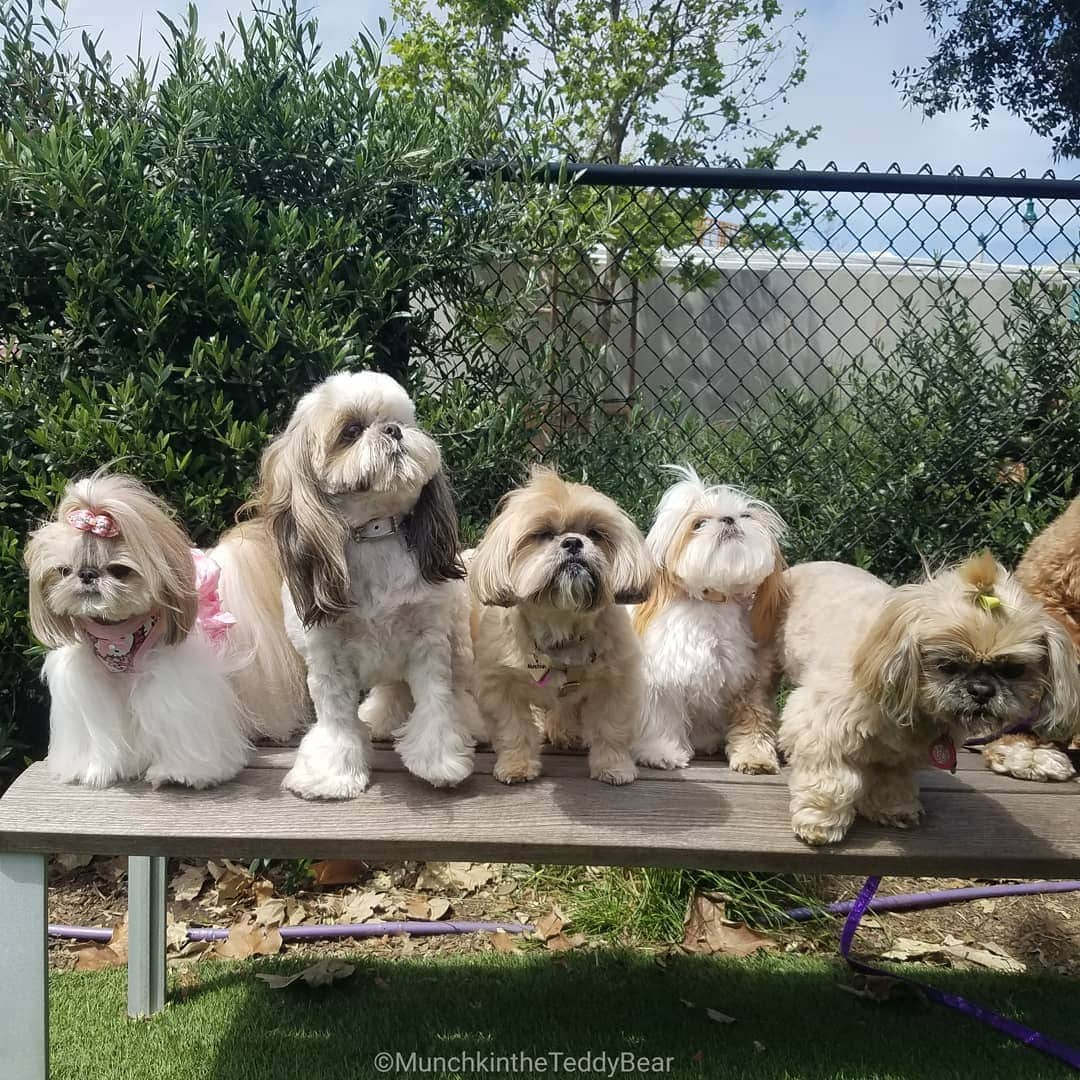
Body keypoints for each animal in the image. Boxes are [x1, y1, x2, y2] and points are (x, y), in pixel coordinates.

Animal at [470, 468, 652, 790]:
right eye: (542, 534)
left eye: (595, 533)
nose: (573, 542)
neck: (561, 625)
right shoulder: (498, 685)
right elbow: (513, 729)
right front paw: (517, 765)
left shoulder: (617, 683)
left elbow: (611, 729)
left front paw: (614, 766)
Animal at [630, 468, 786, 773]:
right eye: (699, 523)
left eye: (745, 515)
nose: (729, 518)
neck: (713, 600)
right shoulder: (662, 678)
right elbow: (661, 717)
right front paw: (661, 752)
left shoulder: (749, 680)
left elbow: (753, 720)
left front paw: (755, 757)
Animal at [777, 557, 1080, 842]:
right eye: (947, 665)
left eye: (1013, 670)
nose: (982, 690)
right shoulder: (820, 726)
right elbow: (831, 782)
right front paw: (820, 823)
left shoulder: (900, 757)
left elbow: (891, 780)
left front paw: (893, 809)